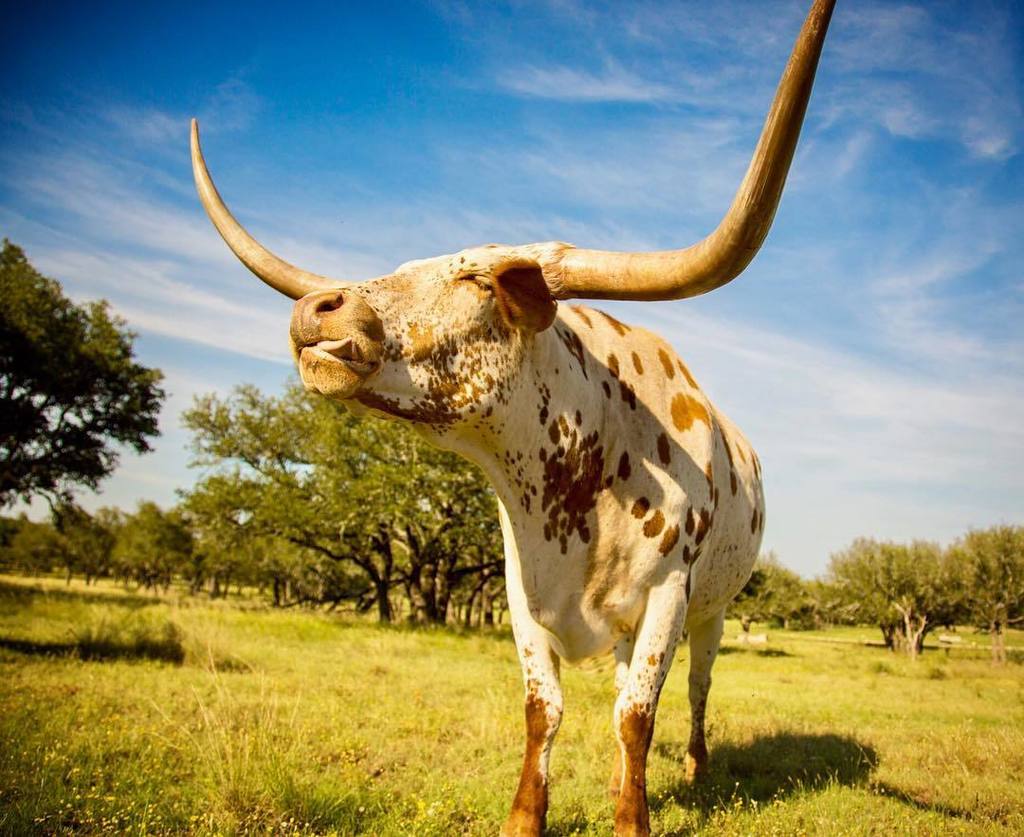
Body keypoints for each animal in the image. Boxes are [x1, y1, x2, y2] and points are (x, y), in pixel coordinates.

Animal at [190, 2, 834, 833]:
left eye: (473, 280)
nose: (316, 307)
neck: (588, 472)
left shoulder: (668, 596)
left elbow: (636, 714)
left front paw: (633, 817)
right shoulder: (522, 596)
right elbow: (546, 708)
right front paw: (531, 813)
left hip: (714, 611)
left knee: (692, 690)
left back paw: (691, 765)